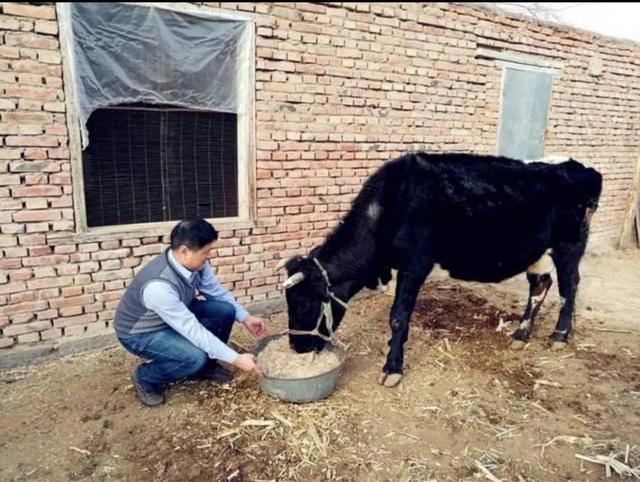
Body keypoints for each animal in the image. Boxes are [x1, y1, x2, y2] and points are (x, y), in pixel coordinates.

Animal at [278, 154, 604, 388]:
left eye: (304, 303)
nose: (296, 347)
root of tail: (580, 167)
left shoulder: (415, 264)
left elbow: (398, 317)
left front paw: (392, 368)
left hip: (569, 247)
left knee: (569, 286)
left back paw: (559, 335)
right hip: (538, 253)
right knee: (540, 286)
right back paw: (521, 336)